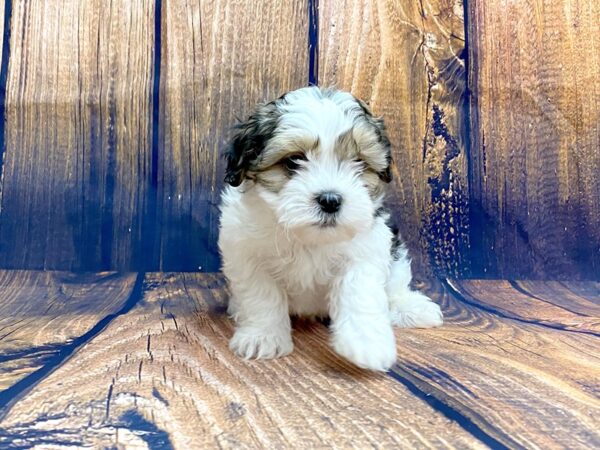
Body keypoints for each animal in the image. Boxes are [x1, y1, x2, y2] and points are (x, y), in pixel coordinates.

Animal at [218, 86, 442, 370]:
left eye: (359, 162)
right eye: (293, 161)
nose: (330, 200)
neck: (308, 237)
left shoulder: (366, 250)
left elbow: (360, 293)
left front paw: (367, 343)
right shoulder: (246, 251)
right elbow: (261, 296)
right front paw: (263, 337)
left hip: (395, 252)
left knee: (395, 286)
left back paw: (411, 308)